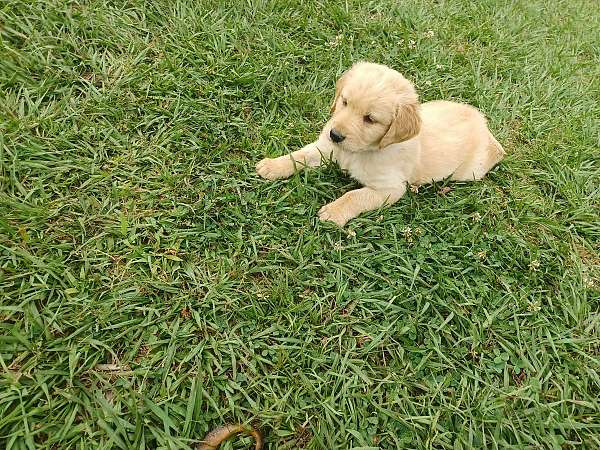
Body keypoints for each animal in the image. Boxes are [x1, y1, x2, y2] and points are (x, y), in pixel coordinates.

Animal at [255, 60, 504, 225]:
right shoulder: (326, 148)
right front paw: (272, 166)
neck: (359, 151)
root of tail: (486, 128)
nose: (335, 135)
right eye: (344, 102)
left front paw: (334, 212)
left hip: (470, 172)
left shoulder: (390, 188)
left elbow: (355, 196)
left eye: (370, 119)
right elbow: (299, 155)